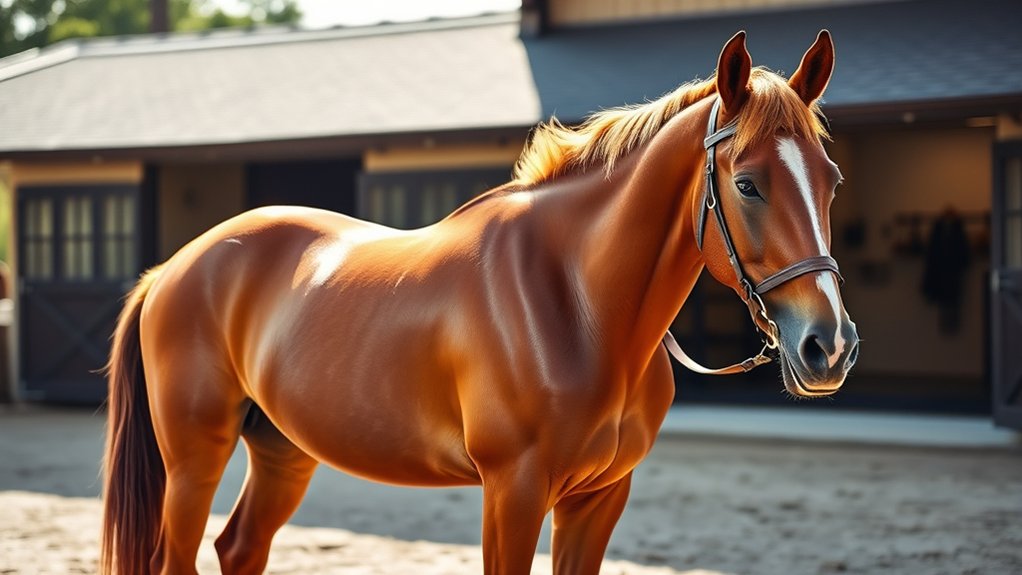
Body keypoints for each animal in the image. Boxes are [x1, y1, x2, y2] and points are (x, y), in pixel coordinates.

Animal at [101, 30, 858, 574]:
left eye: (832, 178)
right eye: (748, 183)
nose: (829, 346)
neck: (575, 303)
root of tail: (172, 268)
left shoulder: (598, 497)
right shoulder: (513, 492)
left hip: (282, 450)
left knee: (239, 548)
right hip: (194, 455)